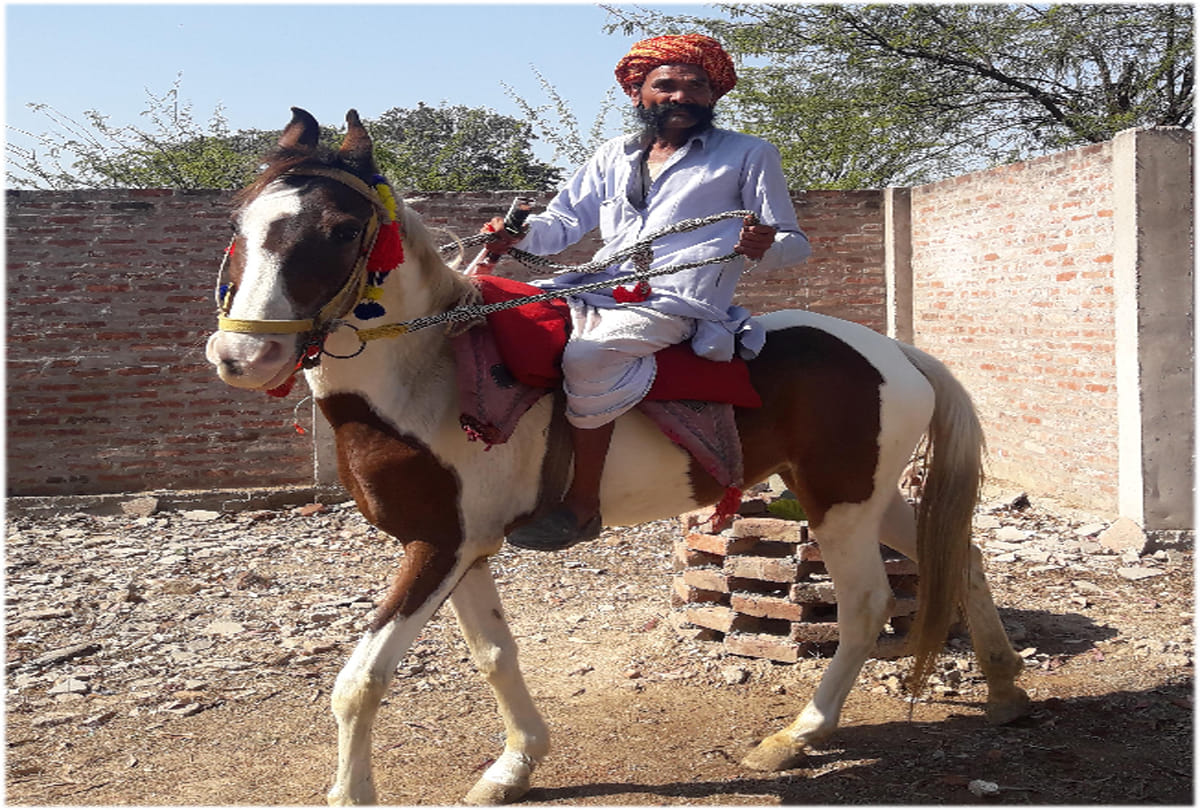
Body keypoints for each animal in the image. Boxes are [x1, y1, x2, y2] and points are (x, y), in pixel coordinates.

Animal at [206, 108, 1030, 805]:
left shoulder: (437, 547)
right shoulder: (458, 545)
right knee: (959, 552)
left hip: (841, 508)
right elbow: (494, 653)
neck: (426, 374)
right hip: (858, 496)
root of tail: (895, 351)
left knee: (866, 607)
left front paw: (354, 792)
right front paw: (516, 765)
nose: (240, 355)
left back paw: (798, 735)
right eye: (241, 222)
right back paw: (1004, 690)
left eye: (343, 228)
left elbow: (361, 680)